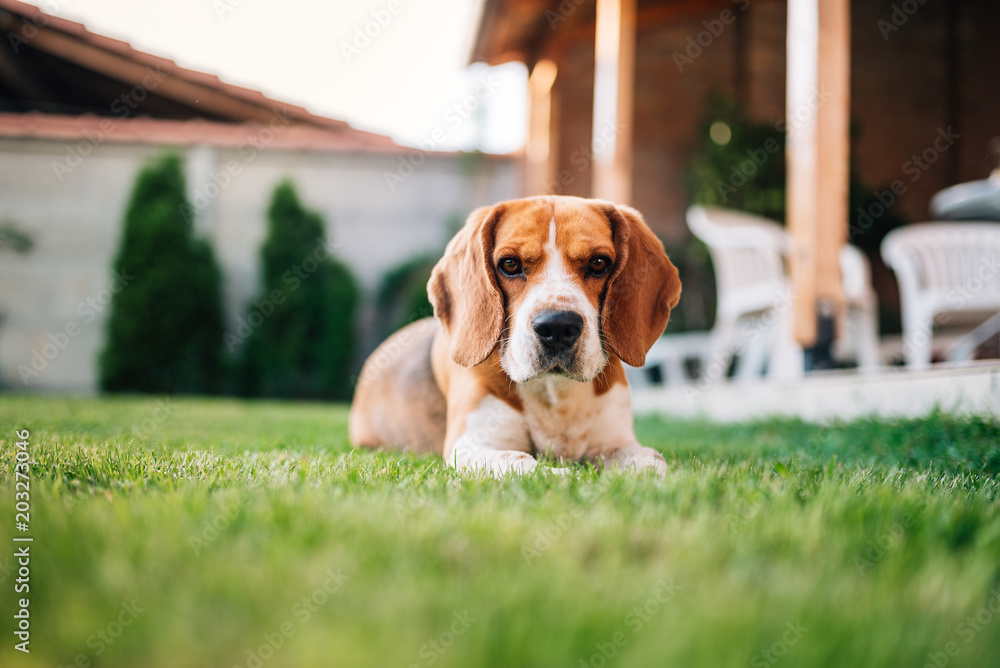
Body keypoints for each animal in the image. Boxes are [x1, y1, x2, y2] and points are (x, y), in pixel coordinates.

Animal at [348, 196, 684, 478]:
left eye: (599, 263)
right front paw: (569, 476)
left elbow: (652, 463)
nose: (557, 327)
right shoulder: (471, 446)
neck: (554, 394)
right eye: (510, 264)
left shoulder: (618, 442)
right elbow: (528, 465)